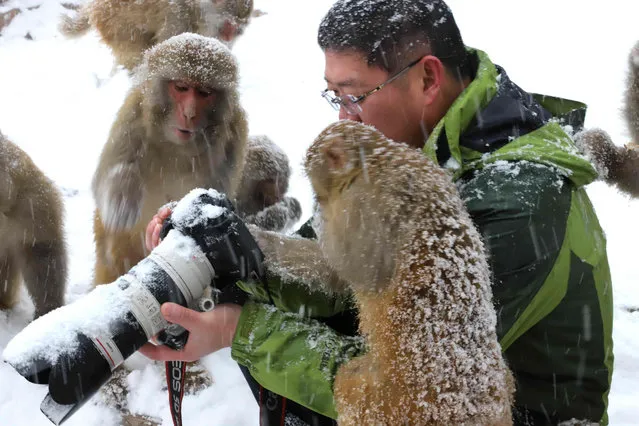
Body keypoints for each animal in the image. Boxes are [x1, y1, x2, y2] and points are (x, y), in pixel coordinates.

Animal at [60, 0, 254, 71]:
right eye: (228, 27)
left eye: (239, 29)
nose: (230, 36)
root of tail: (92, 6)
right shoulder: (176, 17)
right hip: (115, 25)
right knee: (133, 52)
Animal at [92, 34, 248, 286]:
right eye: (181, 88)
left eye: (204, 93)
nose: (189, 113)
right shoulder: (134, 113)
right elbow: (104, 180)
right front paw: (123, 202)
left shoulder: (235, 130)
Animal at [302, 120, 516, 426]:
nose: (316, 199)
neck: (376, 157)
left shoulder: (365, 206)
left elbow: (358, 267)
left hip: (386, 406)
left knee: (348, 385)